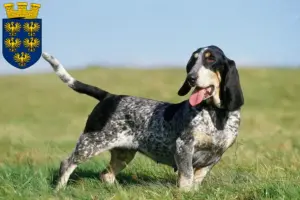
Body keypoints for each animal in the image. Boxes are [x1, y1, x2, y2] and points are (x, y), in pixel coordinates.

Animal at [41, 44, 244, 191]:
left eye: (211, 59)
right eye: (192, 62)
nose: (191, 78)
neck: (215, 114)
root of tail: (109, 96)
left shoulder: (213, 157)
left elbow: (195, 181)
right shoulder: (184, 147)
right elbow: (186, 179)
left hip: (123, 153)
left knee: (106, 175)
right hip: (90, 144)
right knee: (67, 164)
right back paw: (59, 190)